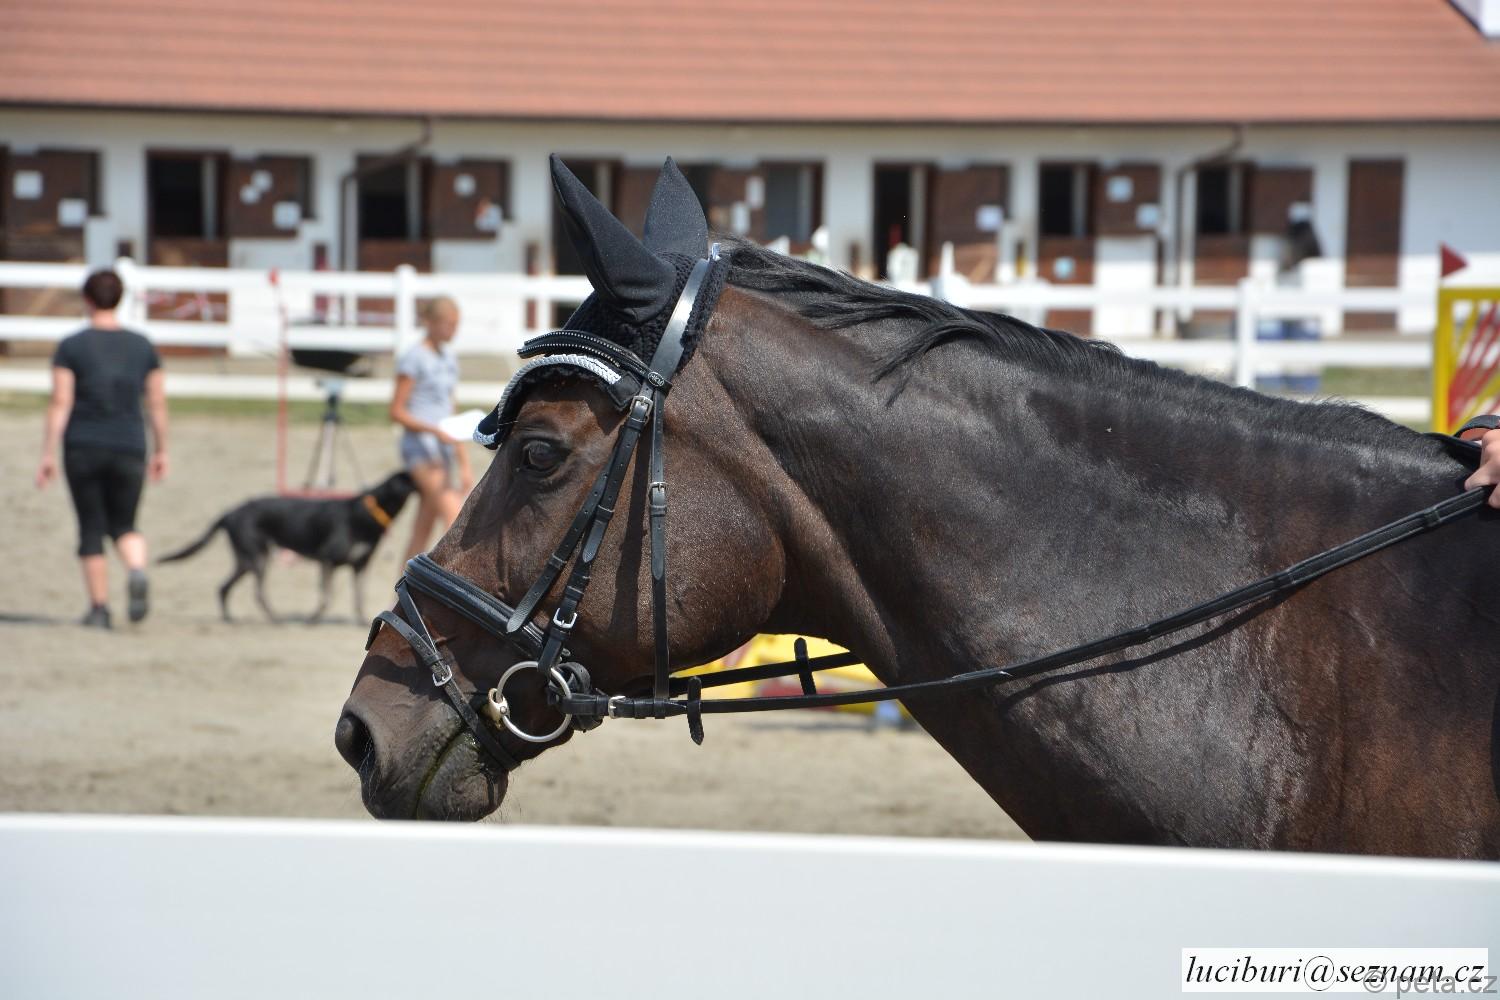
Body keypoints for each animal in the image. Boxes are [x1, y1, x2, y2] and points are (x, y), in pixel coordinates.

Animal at [160, 471, 417, 623]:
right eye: (412, 479)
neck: (368, 513)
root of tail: (230, 513)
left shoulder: (360, 566)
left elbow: (359, 598)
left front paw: (363, 621)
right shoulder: (327, 559)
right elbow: (326, 596)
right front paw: (312, 620)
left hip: (247, 560)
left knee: (223, 587)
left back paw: (230, 618)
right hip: (257, 559)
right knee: (256, 592)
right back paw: (275, 619)